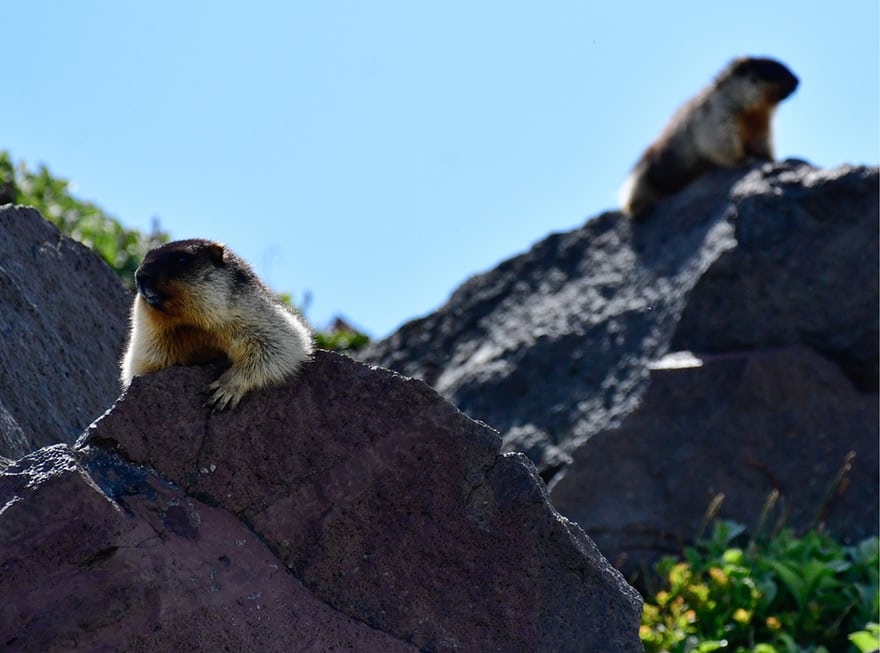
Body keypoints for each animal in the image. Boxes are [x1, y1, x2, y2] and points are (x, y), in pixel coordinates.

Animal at [120, 239, 313, 410]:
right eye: (145, 257)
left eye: (182, 259)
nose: (140, 275)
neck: (190, 324)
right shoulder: (150, 337)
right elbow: (143, 362)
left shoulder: (254, 313)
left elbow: (277, 343)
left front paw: (225, 389)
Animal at [619, 56, 799, 218]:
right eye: (774, 68)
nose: (798, 80)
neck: (754, 112)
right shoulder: (718, 113)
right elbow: (719, 139)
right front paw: (744, 159)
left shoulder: (763, 125)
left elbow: (762, 141)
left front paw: (770, 158)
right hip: (643, 174)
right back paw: (639, 209)